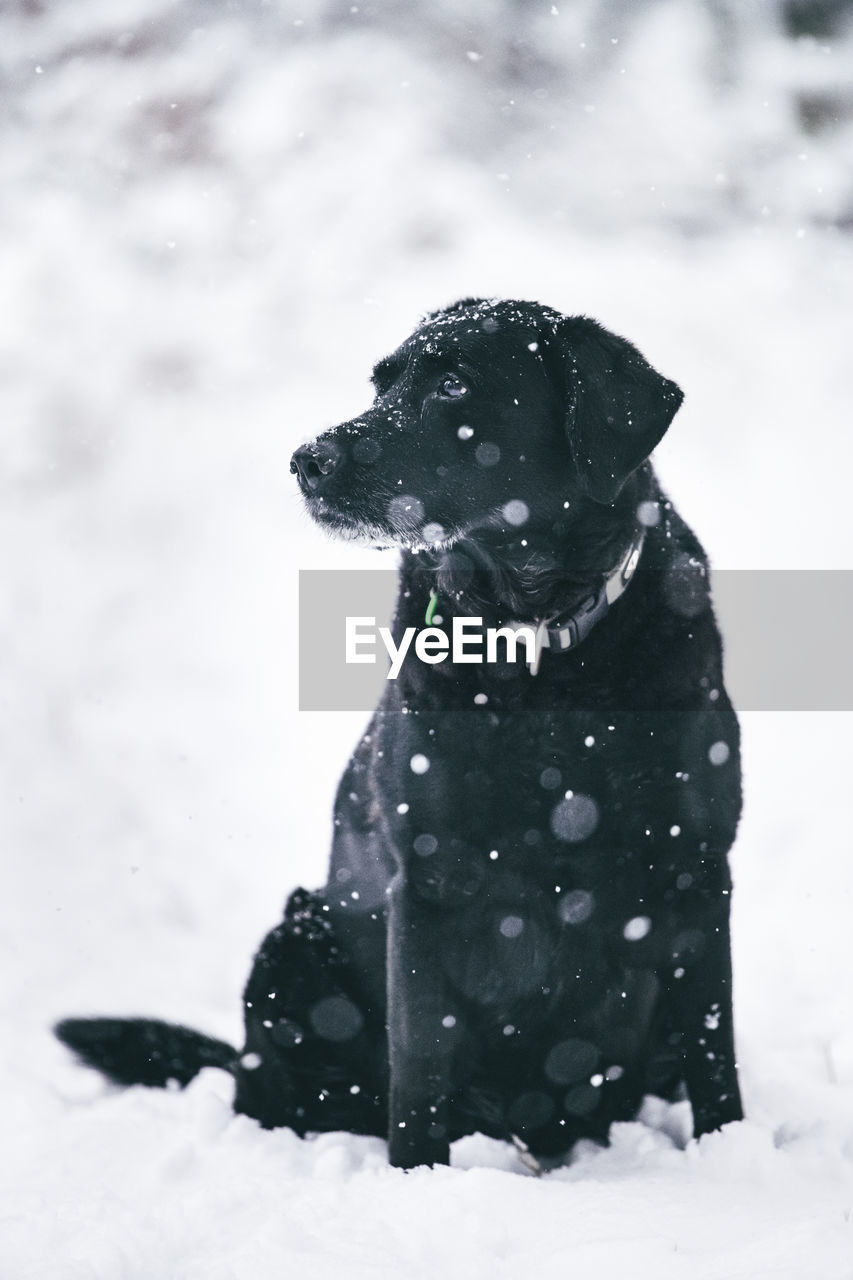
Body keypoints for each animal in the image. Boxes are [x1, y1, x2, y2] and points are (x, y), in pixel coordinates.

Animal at [58, 299, 737, 1172]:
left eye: (452, 385)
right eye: (379, 384)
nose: (305, 459)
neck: (539, 646)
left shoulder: (696, 872)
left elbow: (715, 1053)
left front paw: (734, 1150)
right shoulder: (428, 884)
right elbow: (420, 1061)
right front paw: (417, 1177)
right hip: (293, 939)